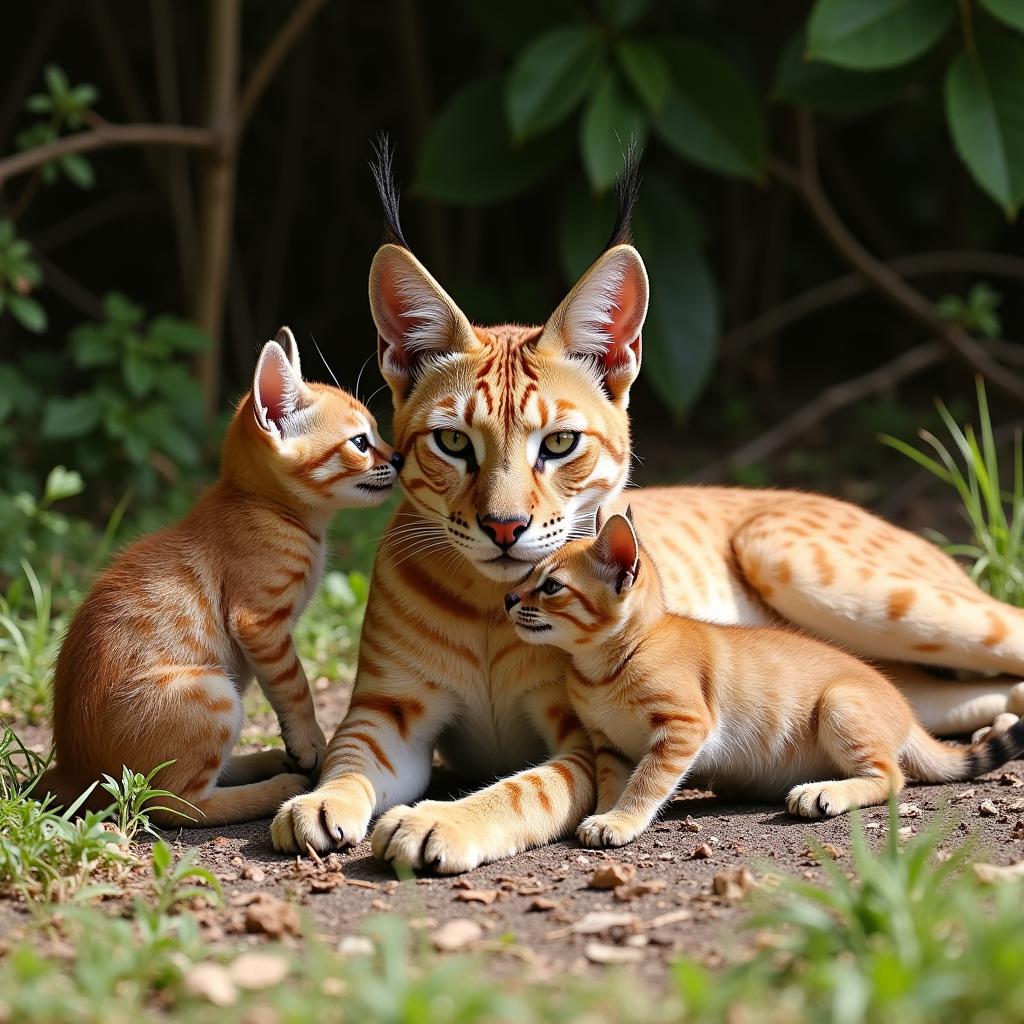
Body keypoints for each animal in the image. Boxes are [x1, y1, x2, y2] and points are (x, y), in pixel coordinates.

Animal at [39, 331, 401, 827]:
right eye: (362, 442)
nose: (399, 457)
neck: (262, 505)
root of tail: (73, 772)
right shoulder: (260, 624)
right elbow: (297, 687)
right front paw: (311, 742)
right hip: (214, 695)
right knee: (178, 804)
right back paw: (275, 787)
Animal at [503, 512, 1024, 847]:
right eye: (528, 576)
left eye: (551, 586)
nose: (508, 598)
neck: (606, 665)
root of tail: (909, 716)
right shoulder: (609, 743)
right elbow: (616, 782)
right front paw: (605, 813)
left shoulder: (682, 728)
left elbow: (647, 783)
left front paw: (621, 821)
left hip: (840, 705)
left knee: (891, 777)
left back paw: (823, 792)